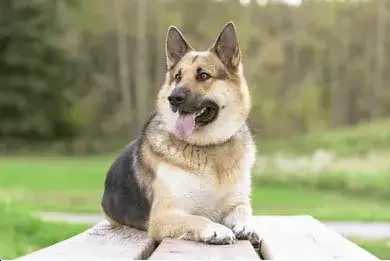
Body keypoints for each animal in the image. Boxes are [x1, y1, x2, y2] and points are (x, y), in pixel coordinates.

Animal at [101, 21, 258, 245]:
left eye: (203, 75)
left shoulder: (236, 203)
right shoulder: (164, 216)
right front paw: (216, 229)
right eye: (177, 77)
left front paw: (246, 225)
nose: (173, 98)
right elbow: (198, 218)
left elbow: (244, 212)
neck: (209, 147)